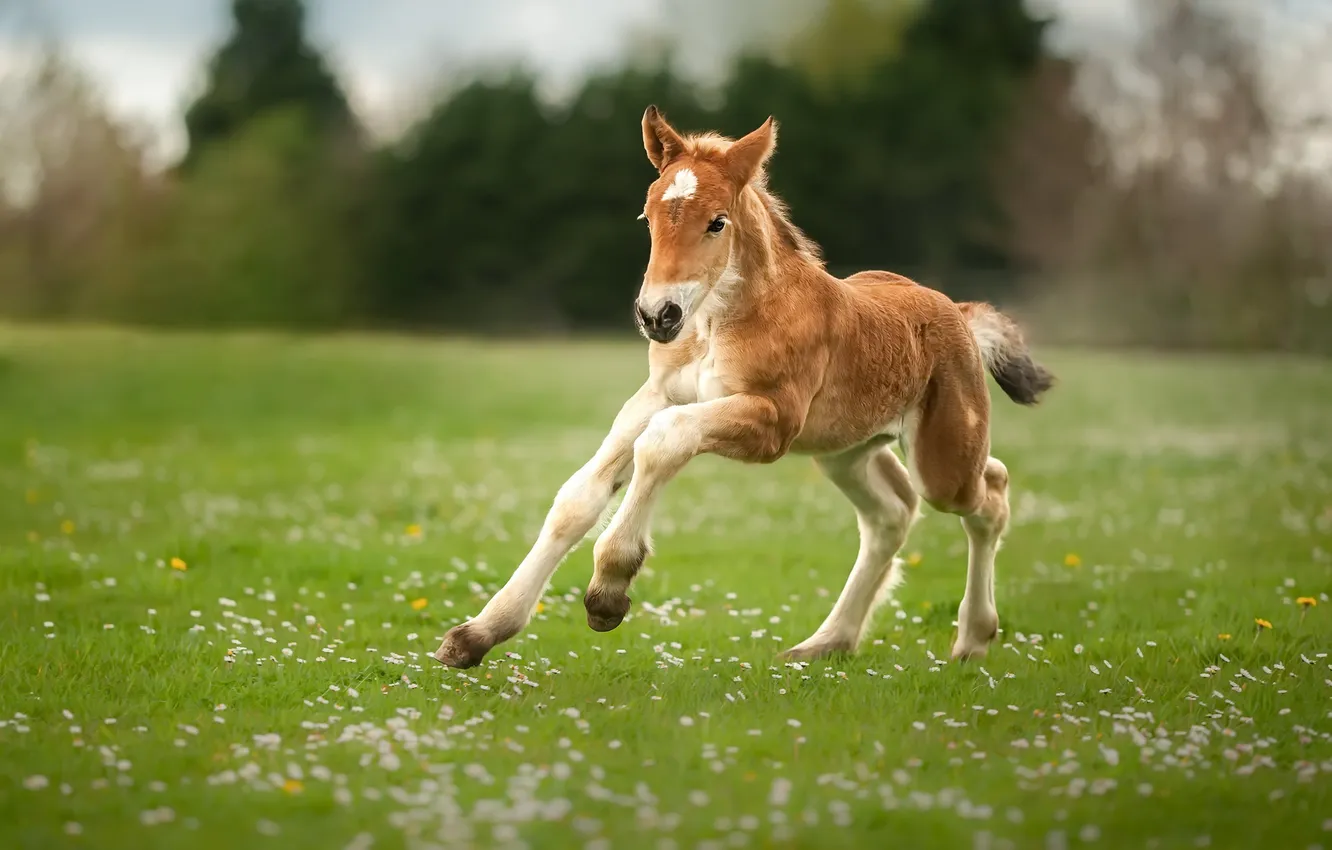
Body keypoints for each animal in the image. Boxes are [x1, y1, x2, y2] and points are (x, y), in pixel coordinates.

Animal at [433, 106, 1054, 669]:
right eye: (648, 216)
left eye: (717, 221)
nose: (657, 315)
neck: (717, 321)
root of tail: (959, 313)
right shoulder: (658, 394)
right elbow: (577, 497)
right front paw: (477, 634)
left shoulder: (771, 421)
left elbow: (663, 441)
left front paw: (609, 589)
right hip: (844, 450)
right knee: (891, 514)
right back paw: (825, 644)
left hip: (941, 461)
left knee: (990, 493)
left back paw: (972, 639)